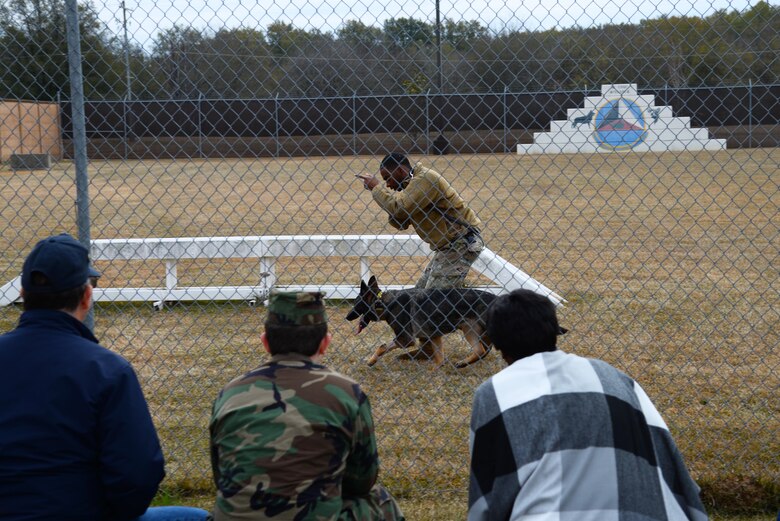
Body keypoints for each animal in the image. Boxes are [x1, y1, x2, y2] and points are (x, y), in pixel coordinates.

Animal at [346, 274, 494, 368]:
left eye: (356, 305)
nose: (346, 317)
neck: (382, 302)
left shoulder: (405, 339)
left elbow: (382, 347)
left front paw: (371, 361)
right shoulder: (434, 336)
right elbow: (439, 359)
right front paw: (435, 371)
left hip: (470, 329)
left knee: (481, 350)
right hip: (473, 330)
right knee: (482, 350)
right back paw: (464, 363)